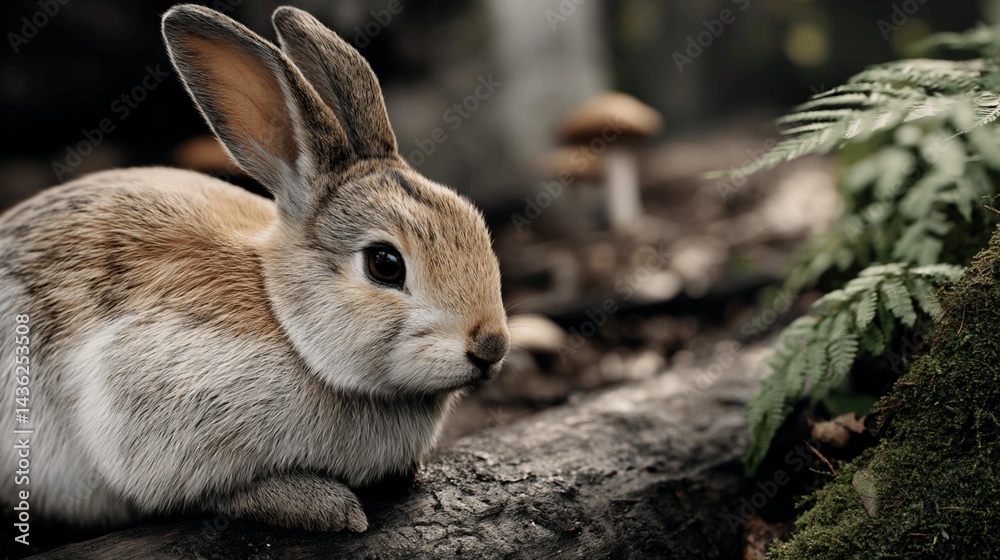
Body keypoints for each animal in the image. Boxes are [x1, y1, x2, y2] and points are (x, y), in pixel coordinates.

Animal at [0, 4, 509, 533]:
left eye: (475, 223)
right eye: (384, 264)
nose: (491, 346)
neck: (288, 321)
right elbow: (214, 493)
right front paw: (325, 507)